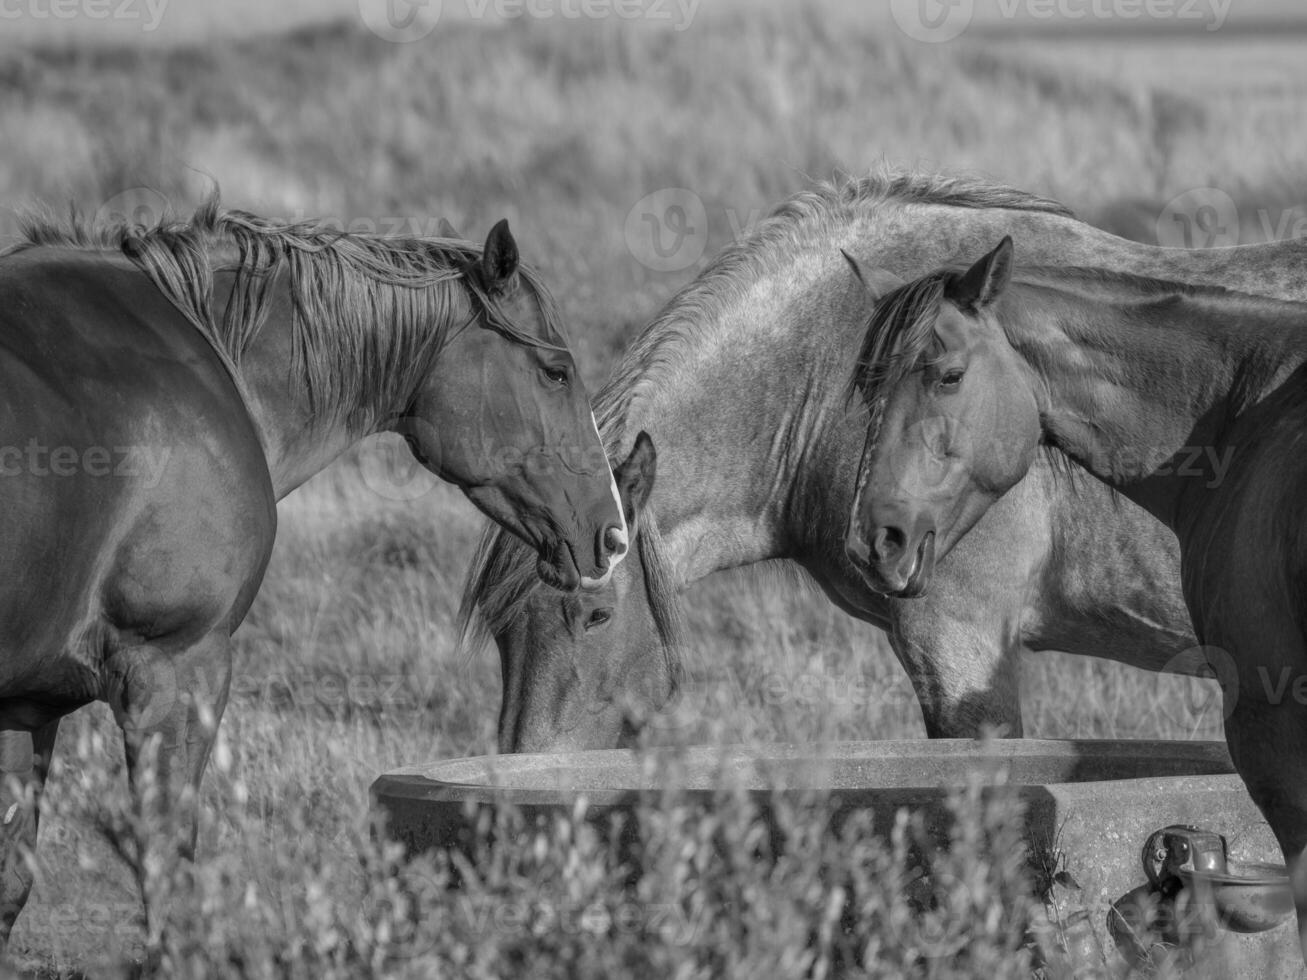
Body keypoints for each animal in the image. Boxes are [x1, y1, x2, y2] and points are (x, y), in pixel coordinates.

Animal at [0, 199, 627, 946]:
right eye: (556, 371)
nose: (613, 533)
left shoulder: (24, 705)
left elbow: (12, 885)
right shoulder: (174, 670)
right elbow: (168, 884)